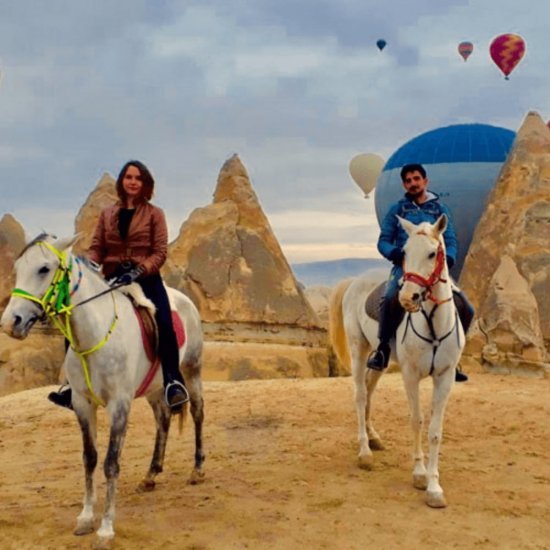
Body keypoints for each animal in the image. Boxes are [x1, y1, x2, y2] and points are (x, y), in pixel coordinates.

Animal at [0, 234, 205, 548]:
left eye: (44, 269)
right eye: (18, 268)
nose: (11, 323)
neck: (93, 335)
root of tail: (185, 301)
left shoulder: (119, 405)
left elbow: (111, 463)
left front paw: (106, 529)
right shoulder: (83, 404)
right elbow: (90, 458)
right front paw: (86, 518)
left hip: (192, 370)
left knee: (197, 412)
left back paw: (197, 469)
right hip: (154, 388)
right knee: (163, 420)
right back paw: (151, 474)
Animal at [332, 216, 466, 508]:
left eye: (432, 253)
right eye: (403, 252)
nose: (407, 298)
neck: (434, 325)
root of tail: (355, 281)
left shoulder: (446, 377)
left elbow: (435, 430)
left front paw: (434, 487)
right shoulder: (410, 375)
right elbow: (416, 420)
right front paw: (419, 474)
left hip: (379, 359)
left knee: (369, 390)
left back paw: (373, 437)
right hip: (359, 349)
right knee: (360, 395)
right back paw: (365, 451)